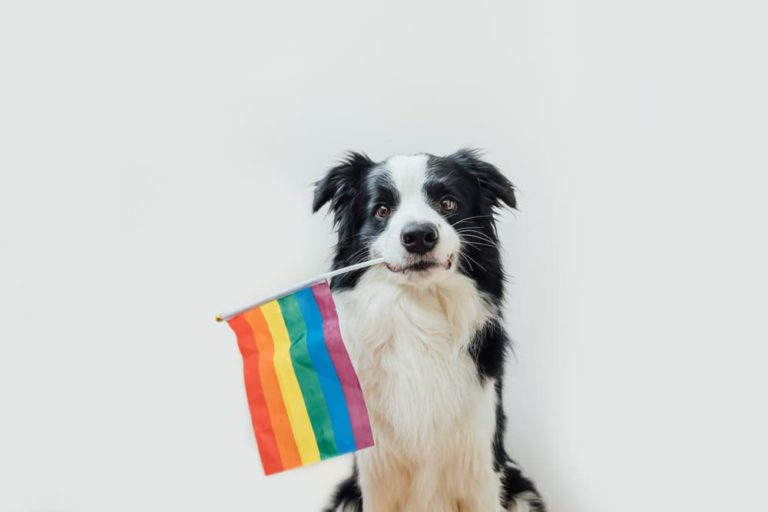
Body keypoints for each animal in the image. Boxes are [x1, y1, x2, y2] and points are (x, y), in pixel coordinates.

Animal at [312, 149, 544, 512]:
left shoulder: (479, 461)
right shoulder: (377, 470)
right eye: (382, 210)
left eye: (448, 203)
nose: (419, 235)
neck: (419, 313)